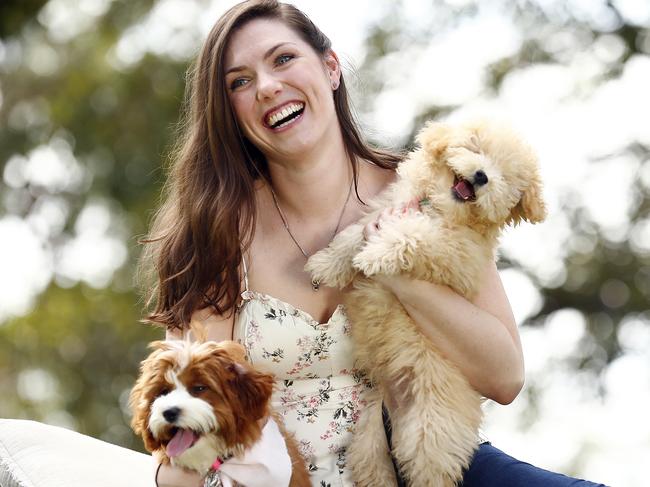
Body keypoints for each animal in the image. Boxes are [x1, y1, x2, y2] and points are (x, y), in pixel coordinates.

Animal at [304, 120, 540, 487]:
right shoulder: (385, 208)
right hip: (370, 440)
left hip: (430, 430)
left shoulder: (451, 251)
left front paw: (374, 254)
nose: (482, 176)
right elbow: (354, 234)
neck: (439, 207)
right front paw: (326, 264)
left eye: (505, 177)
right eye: (475, 147)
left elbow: (410, 235)